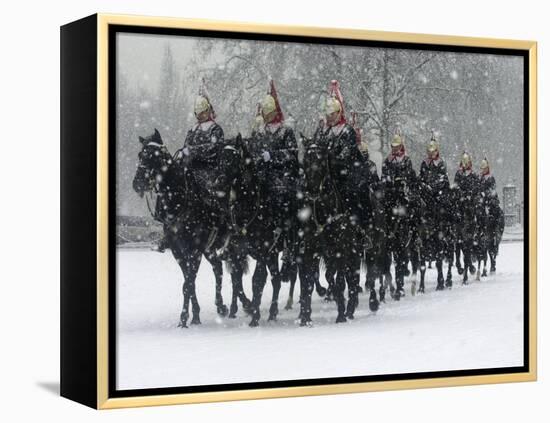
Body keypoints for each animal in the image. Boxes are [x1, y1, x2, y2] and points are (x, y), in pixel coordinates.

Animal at [132, 128, 252, 328]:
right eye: (141, 155)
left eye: (155, 155)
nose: (138, 183)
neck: (179, 202)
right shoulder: (178, 252)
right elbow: (189, 282)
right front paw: (194, 315)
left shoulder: (194, 250)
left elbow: (188, 282)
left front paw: (184, 318)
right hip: (210, 249)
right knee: (219, 269)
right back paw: (223, 306)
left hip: (231, 246)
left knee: (235, 273)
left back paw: (242, 305)